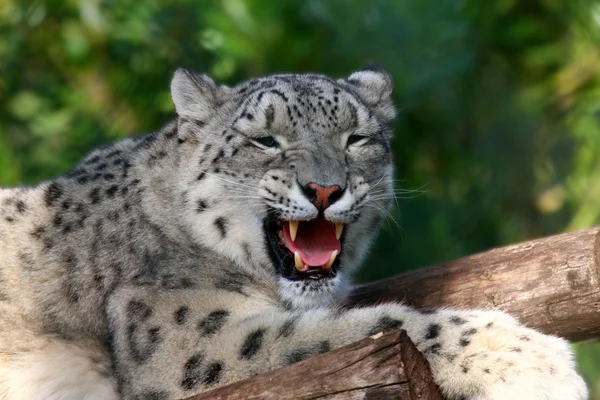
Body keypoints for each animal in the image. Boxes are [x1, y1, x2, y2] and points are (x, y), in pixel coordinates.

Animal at [0, 67, 584, 398]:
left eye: (356, 138)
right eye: (264, 140)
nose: (325, 189)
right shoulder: (190, 343)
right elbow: (369, 325)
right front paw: (534, 361)